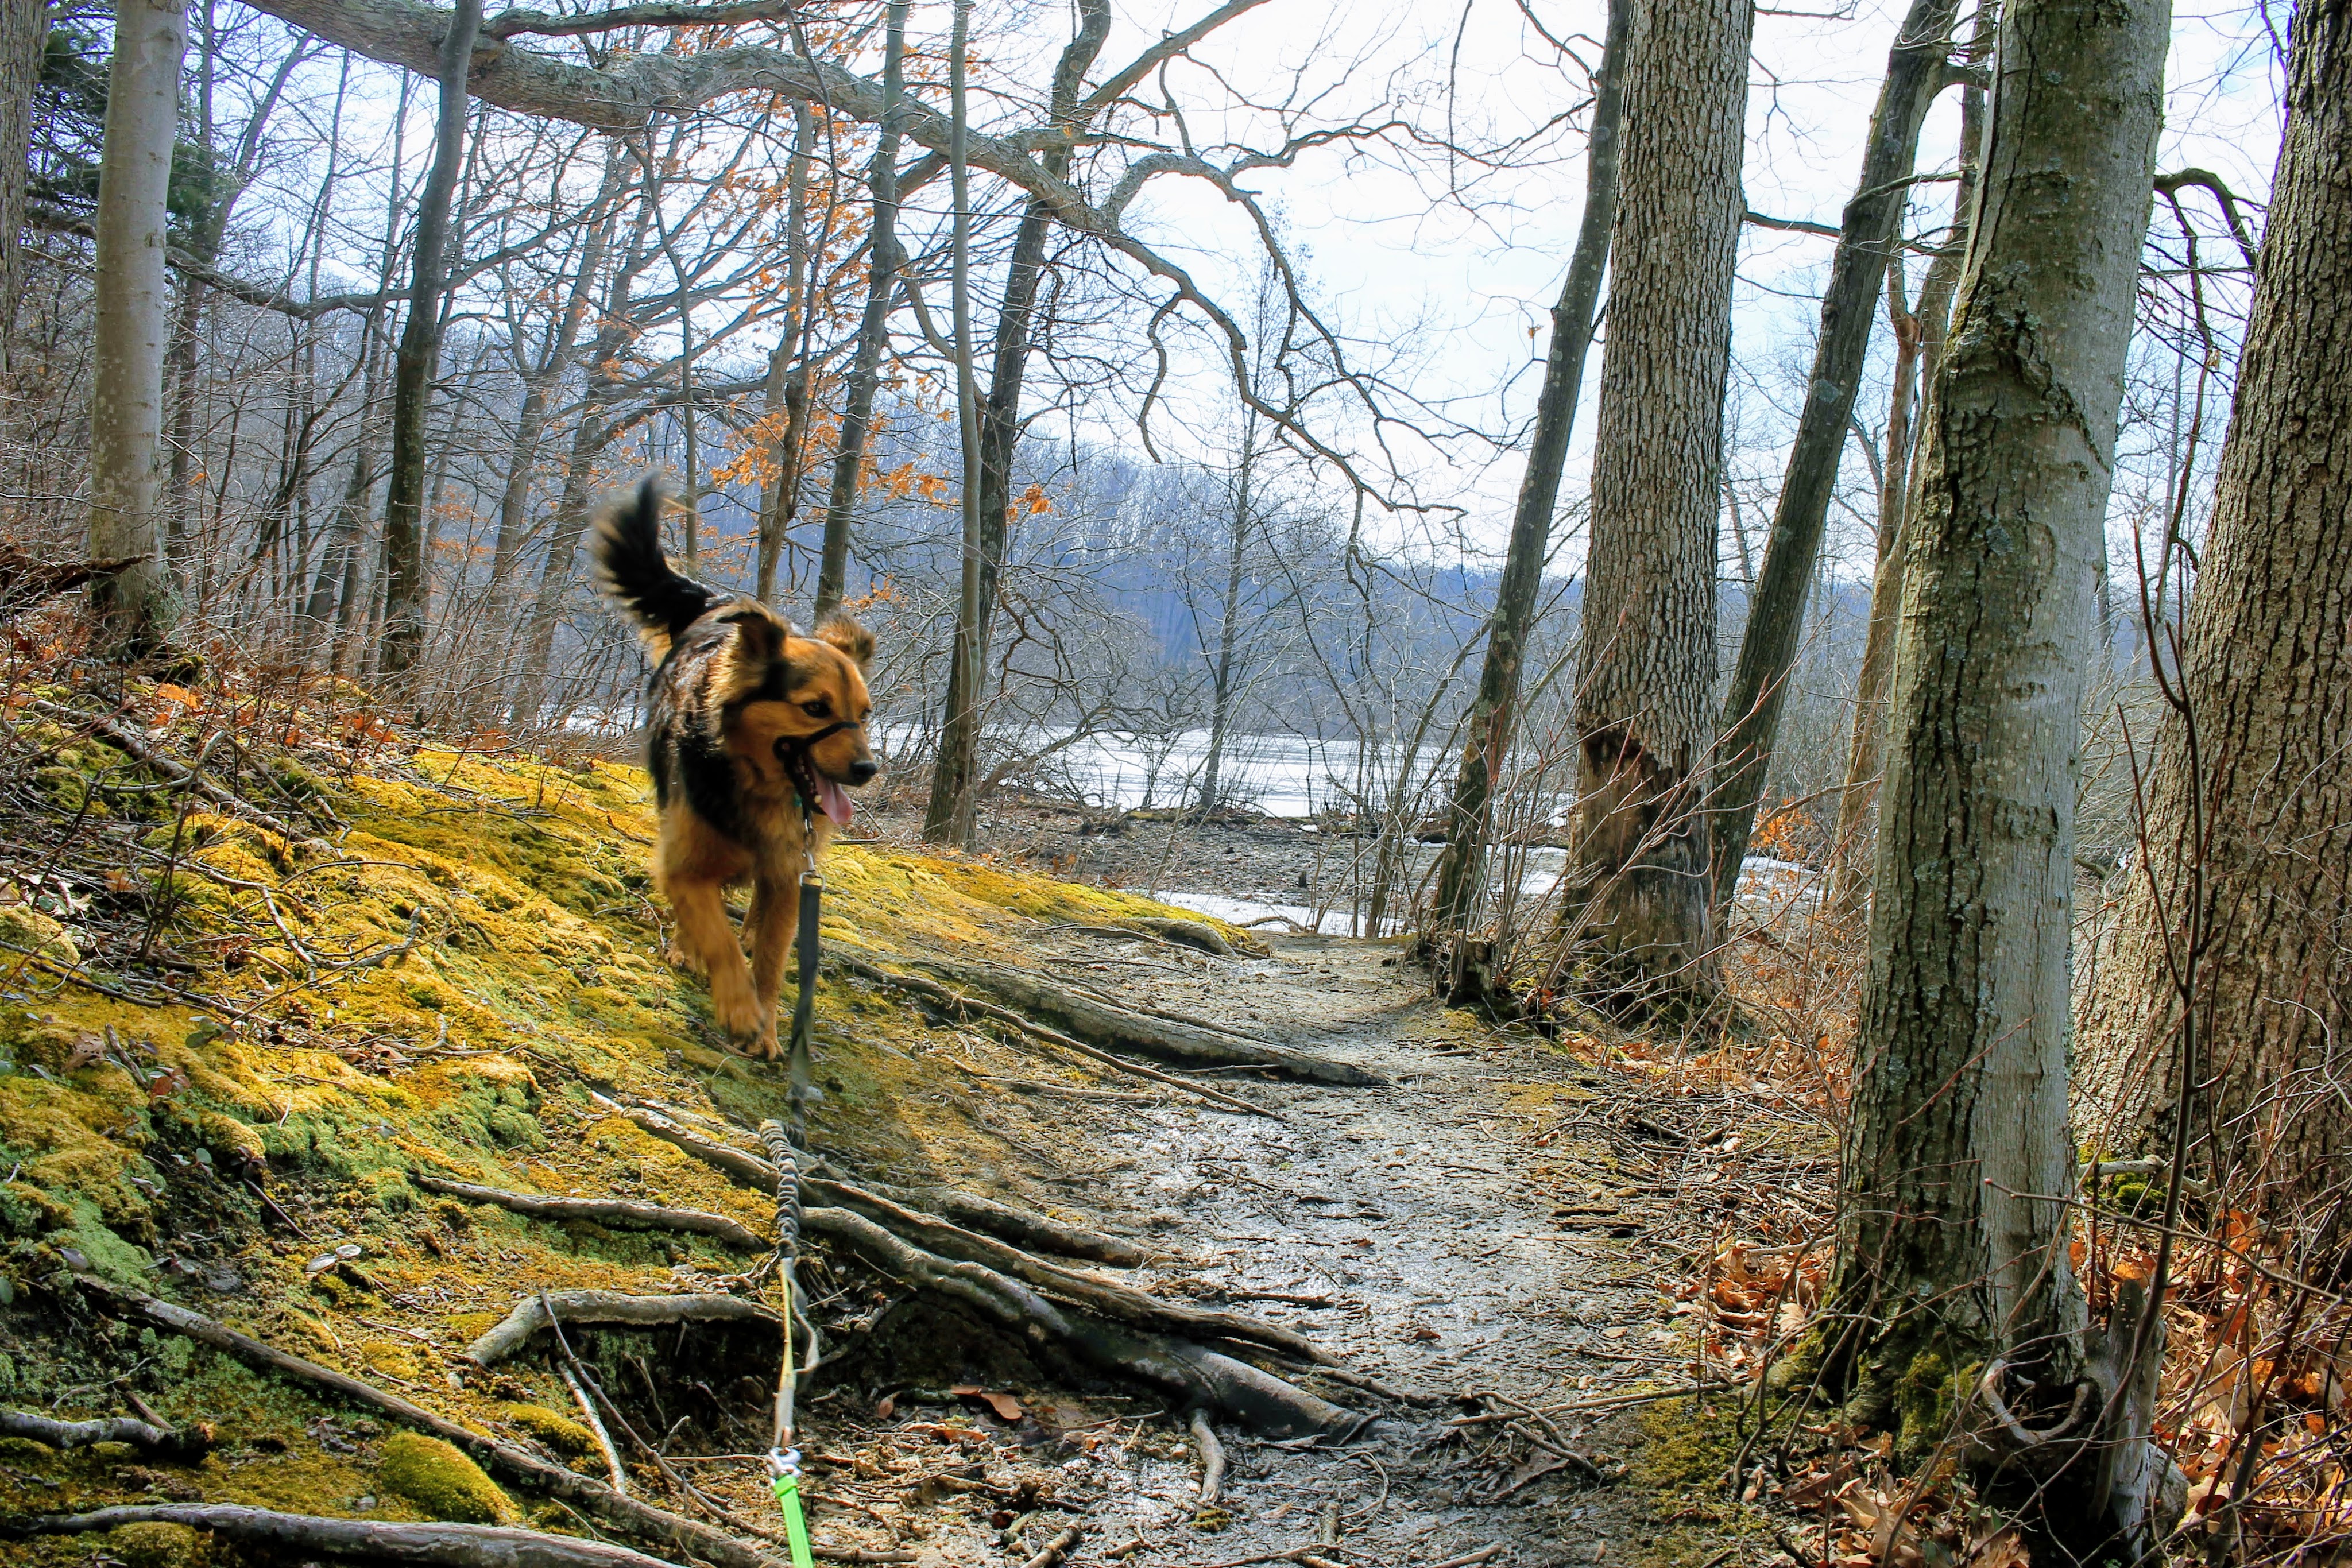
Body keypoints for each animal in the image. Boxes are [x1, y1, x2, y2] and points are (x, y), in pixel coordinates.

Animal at [591, 478, 877, 1060]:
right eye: (816, 708)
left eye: (863, 715)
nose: (868, 768)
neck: (752, 780)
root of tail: (717, 603)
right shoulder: (684, 862)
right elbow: (715, 937)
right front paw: (739, 1009)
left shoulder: (790, 875)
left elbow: (769, 958)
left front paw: (764, 1025)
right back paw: (686, 949)